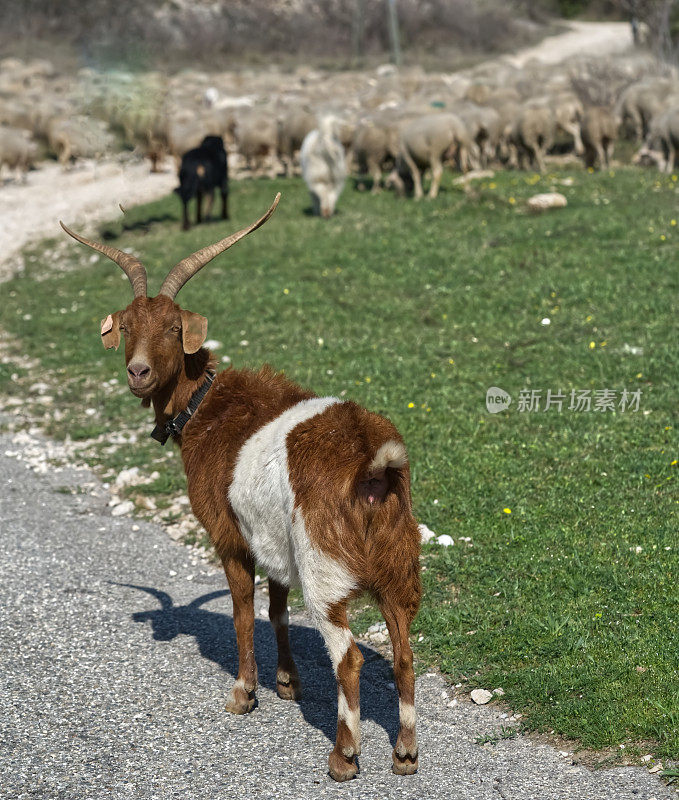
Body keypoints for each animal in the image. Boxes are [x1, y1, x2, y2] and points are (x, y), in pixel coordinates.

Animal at [61, 197, 420, 784]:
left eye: (172, 327)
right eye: (128, 325)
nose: (138, 372)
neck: (203, 405)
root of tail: (375, 462)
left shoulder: (231, 538)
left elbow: (242, 611)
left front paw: (244, 692)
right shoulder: (272, 541)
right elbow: (276, 608)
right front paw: (287, 682)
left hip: (325, 572)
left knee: (350, 657)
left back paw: (344, 755)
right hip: (399, 565)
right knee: (405, 650)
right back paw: (406, 753)